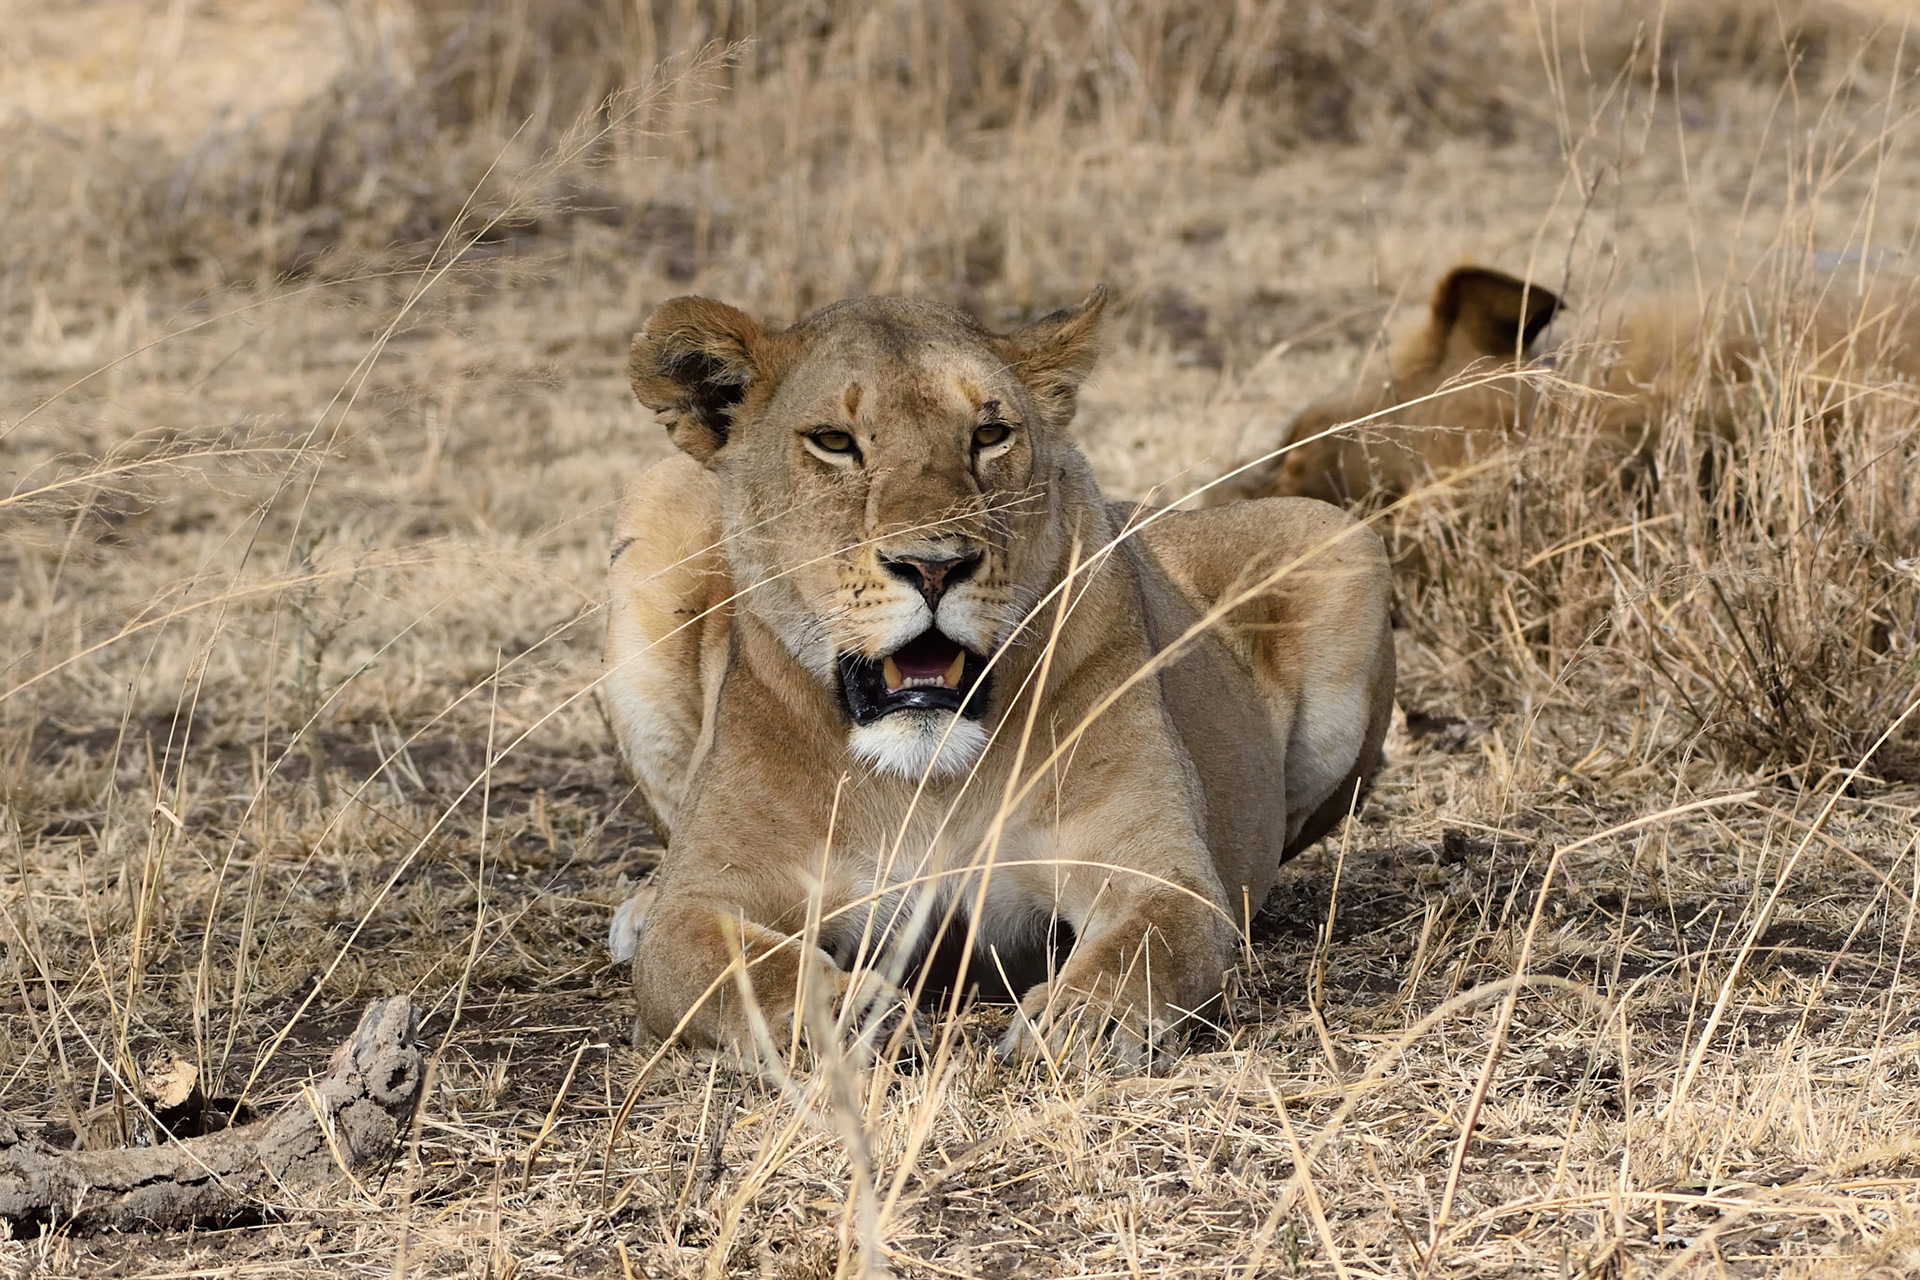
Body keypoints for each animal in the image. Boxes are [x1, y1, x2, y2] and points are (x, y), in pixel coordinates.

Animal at [601, 288, 1396, 1064]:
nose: (934, 566)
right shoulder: (706, 903)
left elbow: (1145, 947)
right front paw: (857, 1021)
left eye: (989, 435)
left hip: (1341, 537)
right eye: (834, 442)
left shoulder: (1159, 872)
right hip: (657, 493)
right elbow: (746, 966)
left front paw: (1083, 1022)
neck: (927, 781)